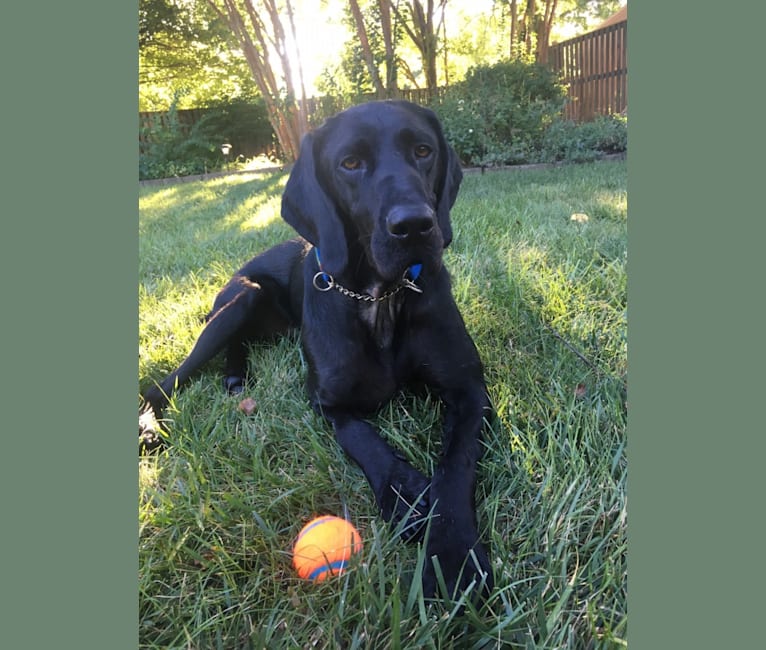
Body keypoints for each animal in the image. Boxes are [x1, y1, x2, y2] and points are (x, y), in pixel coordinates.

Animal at [141, 100, 496, 596]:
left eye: (423, 151)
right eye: (350, 163)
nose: (415, 225)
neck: (379, 298)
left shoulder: (468, 390)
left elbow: (455, 465)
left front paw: (453, 554)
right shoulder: (327, 403)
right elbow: (366, 440)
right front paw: (406, 494)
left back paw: (235, 376)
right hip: (240, 299)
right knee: (164, 382)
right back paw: (151, 425)